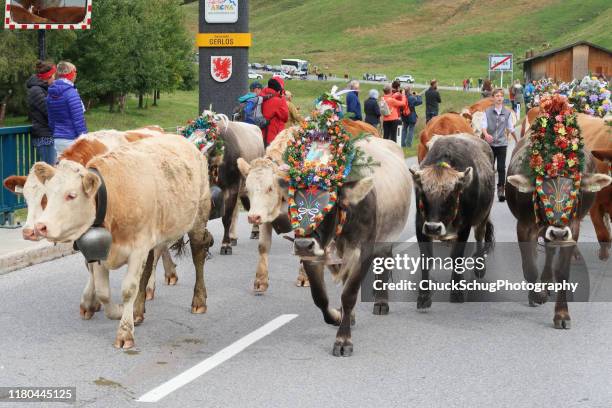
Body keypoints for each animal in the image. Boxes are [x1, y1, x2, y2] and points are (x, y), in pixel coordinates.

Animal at [31, 135, 213, 350]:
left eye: (71, 195)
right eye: (47, 195)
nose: (41, 226)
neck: (115, 199)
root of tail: (184, 140)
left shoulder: (138, 249)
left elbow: (129, 289)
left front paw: (125, 332)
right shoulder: (99, 251)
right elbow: (103, 292)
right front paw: (119, 311)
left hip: (198, 218)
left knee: (198, 256)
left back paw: (198, 301)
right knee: (149, 266)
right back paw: (138, 310)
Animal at [408, 134, 494, 306]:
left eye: (450, 197)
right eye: (423, 195)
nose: (433, 228)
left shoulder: (465, 226)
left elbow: (457, 256)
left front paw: (457, 292)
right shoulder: (420, 224)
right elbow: (426, 258)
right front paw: (424, 296)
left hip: (484, 216)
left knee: (480, 236)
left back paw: (479, 267)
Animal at [504, 115, 608, 328]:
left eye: (575, 191)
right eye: (540, 191)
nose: (558, 231)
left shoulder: (572, 229)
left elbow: (562, 271)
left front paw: (561, 314)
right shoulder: (524, 227)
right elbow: (529, 266)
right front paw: (536, 296)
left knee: (551, 253)